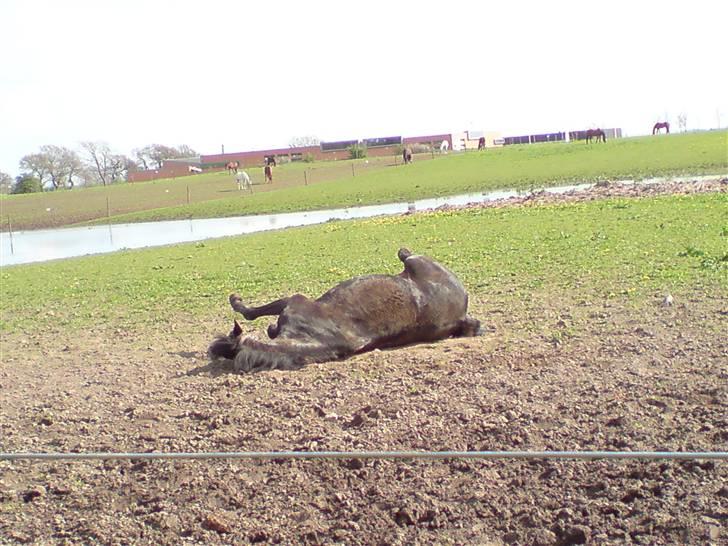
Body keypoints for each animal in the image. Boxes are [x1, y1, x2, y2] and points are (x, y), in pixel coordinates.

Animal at [209, 248, 484, 372]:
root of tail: (462, 315)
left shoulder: (293, 300)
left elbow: (250, 311)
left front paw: (236, 301)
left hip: (415, 259)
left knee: (405, 253)